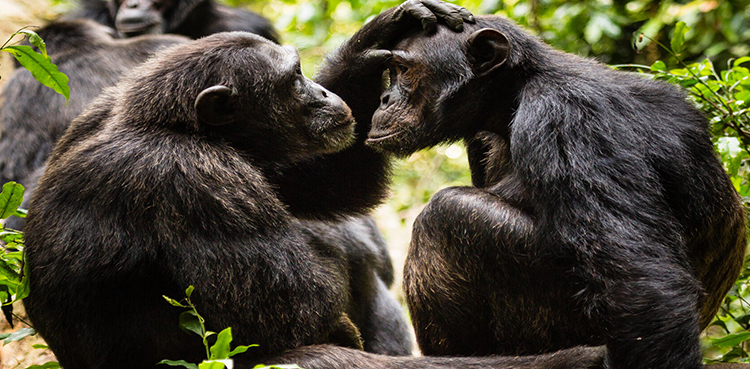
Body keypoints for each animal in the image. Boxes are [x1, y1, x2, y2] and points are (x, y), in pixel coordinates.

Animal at [352, 10, 748, 368]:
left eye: (403, 70)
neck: (514, 94)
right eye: (390, 71)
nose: (385, 99)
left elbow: (641, 280)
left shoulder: (568, 119)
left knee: (449, 214)